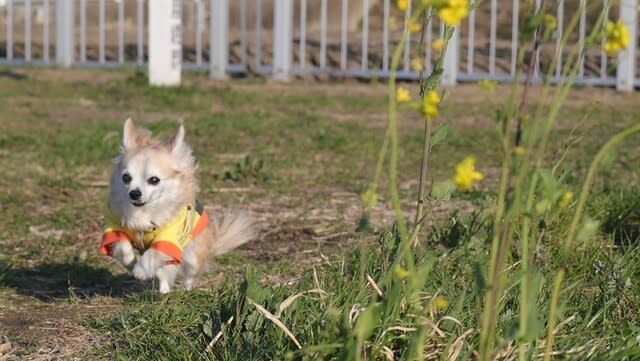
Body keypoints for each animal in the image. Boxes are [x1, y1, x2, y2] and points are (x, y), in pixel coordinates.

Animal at [99, 119, 254, 292]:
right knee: (163, 274)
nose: (134, 193)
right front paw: (132, 264)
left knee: (189, 273)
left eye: (154, 180)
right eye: (126, 177)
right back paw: (164, 290)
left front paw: (140, 270)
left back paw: (185, 289)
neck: (143, 212)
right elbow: (123, 248)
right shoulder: (115, 228)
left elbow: (152, 254)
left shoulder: (168, 239)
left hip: (193, 255)